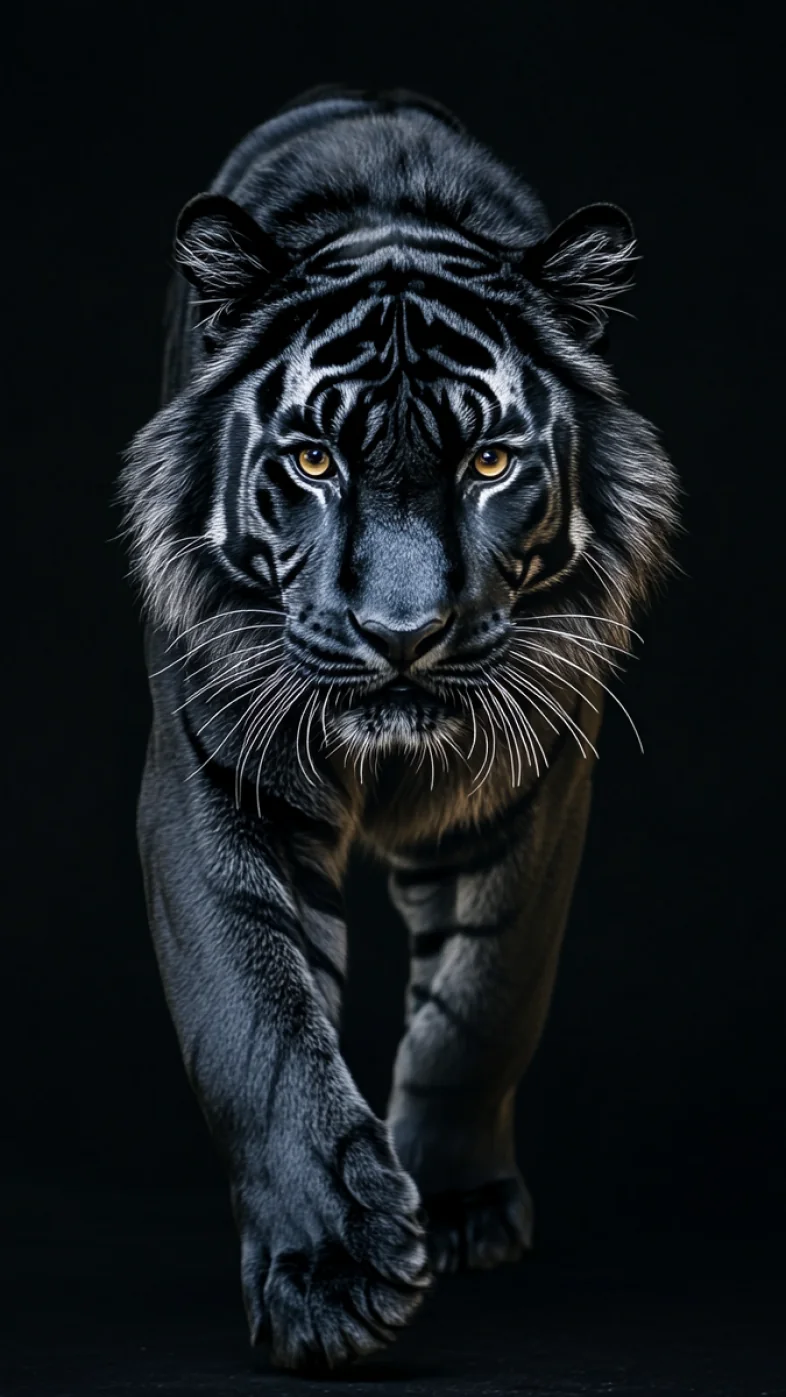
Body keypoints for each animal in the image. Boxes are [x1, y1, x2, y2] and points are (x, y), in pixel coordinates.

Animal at [121, 85, 678, 1372]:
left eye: (490, 460)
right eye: (314, 457)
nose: (403, 633)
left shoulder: (536, 791)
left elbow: (485, 998)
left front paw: (460, 1201)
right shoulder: (212, 788)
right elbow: (261, 1025)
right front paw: (332, 1277)